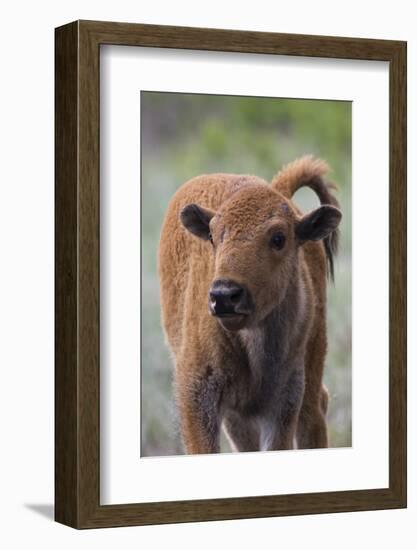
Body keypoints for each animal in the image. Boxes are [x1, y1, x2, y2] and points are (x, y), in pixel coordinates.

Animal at [158, 156, 340, 458]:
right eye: (213, 236)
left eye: (279, 238)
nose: (224, 295)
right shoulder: (199, 399)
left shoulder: (283, 402)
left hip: (313, 358)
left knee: (314, 410)